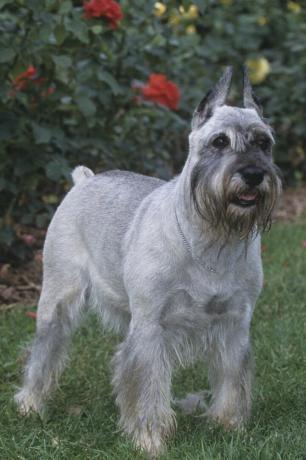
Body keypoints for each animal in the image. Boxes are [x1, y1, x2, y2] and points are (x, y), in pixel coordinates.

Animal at [14, 68, 282, 456]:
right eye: (219, 141)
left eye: (264, 143)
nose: (253, 174)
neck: (212, 240)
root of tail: (84, 180)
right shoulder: (151, 328)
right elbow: (147, 385)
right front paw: (149, 439)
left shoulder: (235, 324)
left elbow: (233, 378)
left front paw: (230, 426)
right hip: (57, 300)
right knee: (43, 353)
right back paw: (31, 404)